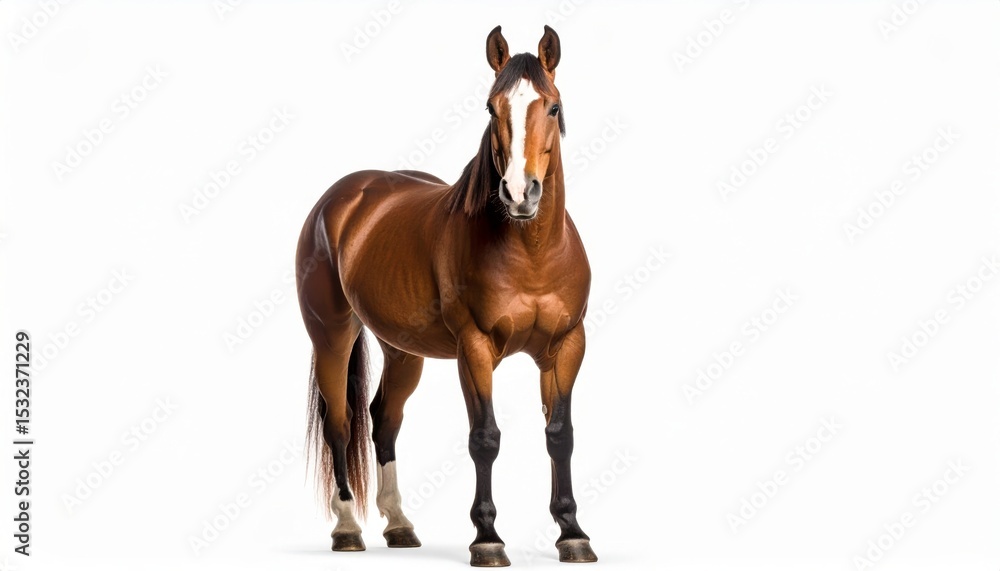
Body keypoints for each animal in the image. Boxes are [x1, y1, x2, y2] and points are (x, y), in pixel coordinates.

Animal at [295, 25, 596, 567]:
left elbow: (560, 436)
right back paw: (347, 528)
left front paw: (572, 533)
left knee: (383, 419)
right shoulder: (474, 349)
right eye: (491, 107)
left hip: (402, 351)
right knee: (340, 423)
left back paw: (399, 524)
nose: (519, 193)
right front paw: (487, 539)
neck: (533, 254)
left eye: (553, 106)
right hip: (331, 335)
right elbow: (485, 438)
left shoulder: (567, 345)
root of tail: (342, 198)